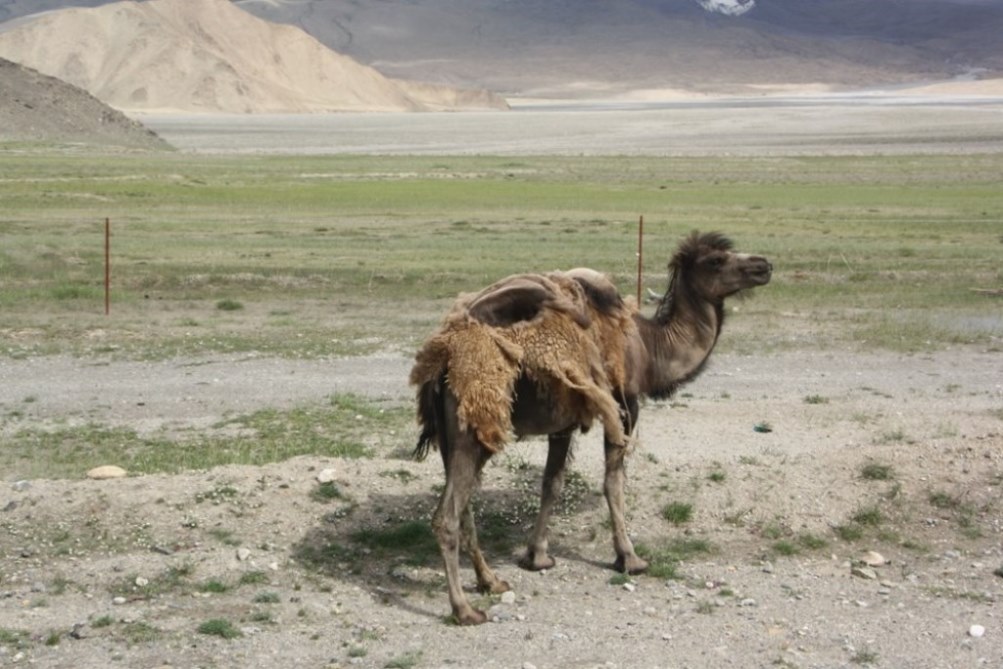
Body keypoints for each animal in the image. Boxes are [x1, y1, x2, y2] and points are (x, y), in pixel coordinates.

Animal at [411, 232, 770, 625]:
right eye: (717, 260)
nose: (763, 265)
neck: (649, 349)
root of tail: (442, 361)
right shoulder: (625, 404)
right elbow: (613, 482)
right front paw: (629, 557)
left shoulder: (563, 421)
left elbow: (552, 483)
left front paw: (537, 557)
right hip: (472, 427)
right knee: (447, 515)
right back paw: (464, 609)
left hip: (455, 434)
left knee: (463, 504)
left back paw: (491, 581)